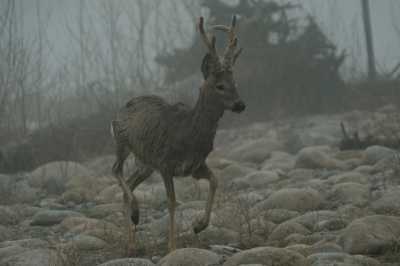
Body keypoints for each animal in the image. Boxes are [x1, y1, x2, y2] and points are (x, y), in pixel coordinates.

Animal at [111, 15, 245, 255]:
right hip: (122, 142)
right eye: (220, 85)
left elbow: (215, 180)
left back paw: (132, 242)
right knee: (116, 170)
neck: (189, 133)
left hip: (145, 163)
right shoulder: (165, 163)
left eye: (235, 83)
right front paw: (172, 247)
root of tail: (122, 108)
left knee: (129, 184)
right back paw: (135, 215)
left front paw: (199, 225)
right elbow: (172, 201)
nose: (241, 104)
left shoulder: (195, 166)